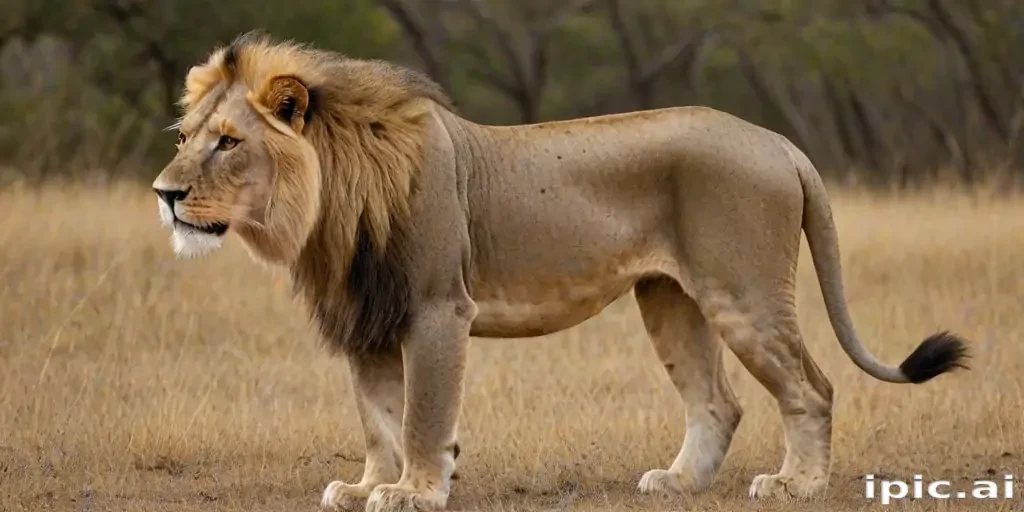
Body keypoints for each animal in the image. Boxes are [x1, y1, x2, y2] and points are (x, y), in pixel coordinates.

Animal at [151, 31, 970, 511]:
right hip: (669, 299)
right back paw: (679, 482)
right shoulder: (366, 321)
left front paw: (415, 490)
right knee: (718, 402)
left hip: (743, 292)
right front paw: (369, 486)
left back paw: (797, 484)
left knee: (812, 387)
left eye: (229, 142)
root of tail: (780, 142)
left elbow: (421, 415)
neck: (326, 198)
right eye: (187, 137)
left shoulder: (438, 307)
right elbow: (378, 417)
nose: (163, 194)